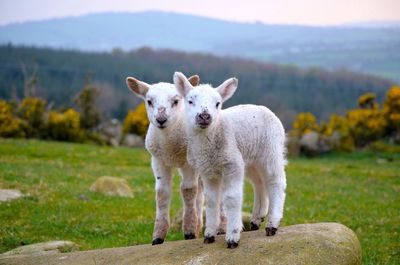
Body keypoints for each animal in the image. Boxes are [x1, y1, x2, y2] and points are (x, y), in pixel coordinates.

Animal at [126, 74, 205, 243]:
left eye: (176, 101)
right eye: (149, 101)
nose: (161, 119)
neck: (170, 148)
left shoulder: (189, 163)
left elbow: (188, 190)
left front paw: (189, 232)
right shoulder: (158, 160)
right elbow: (162, 193)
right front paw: (158, 236)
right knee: (202, 194)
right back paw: (199, 225)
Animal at [173, 71, 286, 248]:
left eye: (218, 103)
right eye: (190, 101)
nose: (204, 116)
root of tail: (264, 108)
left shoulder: (232, 165)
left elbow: (231, 199)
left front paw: (233, 236)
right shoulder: (208, 171)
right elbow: (211, 200)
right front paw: (209, 234)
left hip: (271, 150)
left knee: (276, 182)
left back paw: (272, 225)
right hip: (250, 159)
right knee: (260, 183)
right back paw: (256, 219)